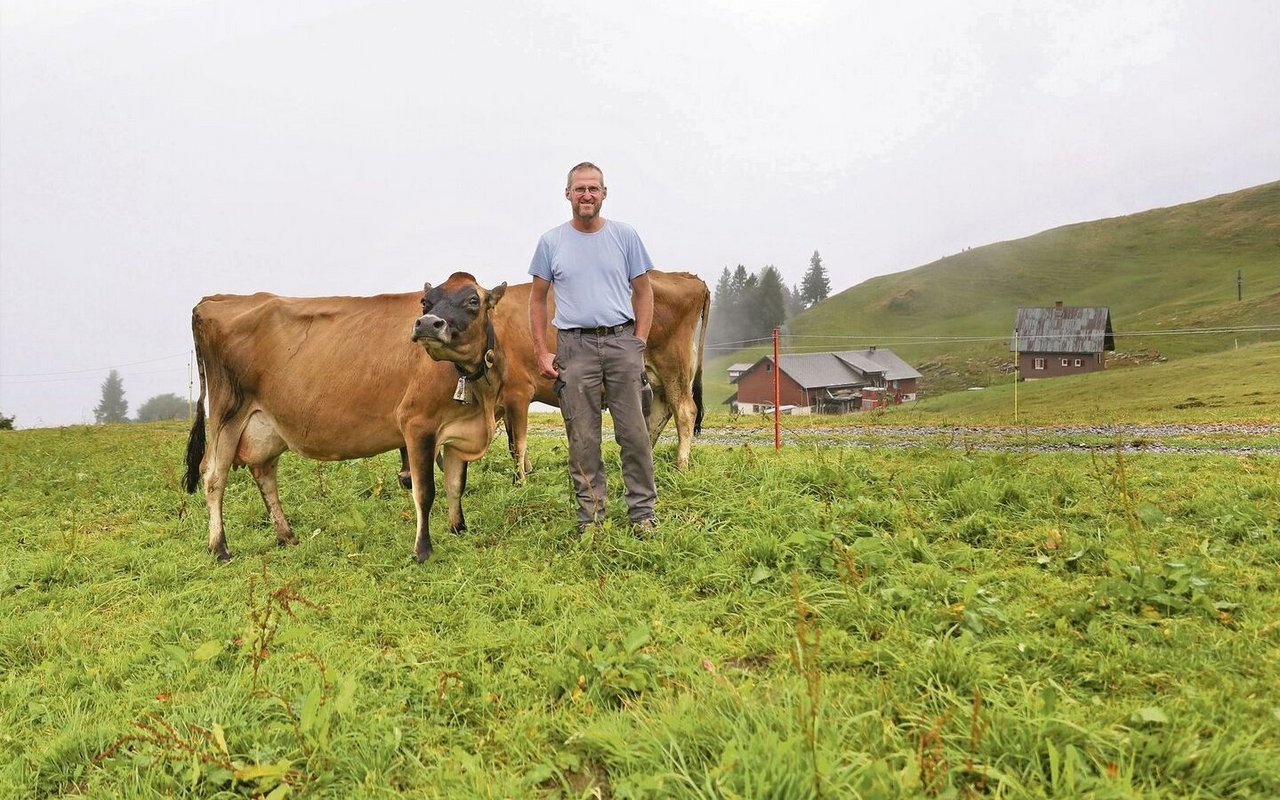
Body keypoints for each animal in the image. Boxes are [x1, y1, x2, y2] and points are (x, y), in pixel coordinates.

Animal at [185, 272, 504, 560]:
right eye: (425, 302)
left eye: (473, 300)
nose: (427, 324)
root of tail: (213, 300)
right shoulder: (417, 424)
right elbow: (425, 491)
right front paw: (423, 550)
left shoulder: (460, 430)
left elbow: (455, 485)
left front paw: (459, 530)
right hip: (227, 413)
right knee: (213, 477)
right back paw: (219, 547)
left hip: (265, 424)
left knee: (264, 473)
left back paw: (287, 536)